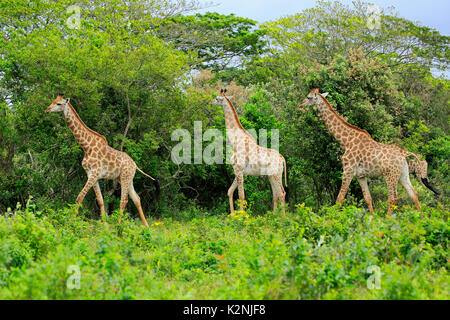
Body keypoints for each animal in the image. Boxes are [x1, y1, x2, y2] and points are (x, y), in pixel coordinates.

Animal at [46, 94, 159, 226]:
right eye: (53, 101)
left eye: (59, 104)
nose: (47, 110)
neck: (86, 147)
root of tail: (135, 165)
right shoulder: (91, 175)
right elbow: (100, 200)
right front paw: (105, 226)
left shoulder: (94, 174)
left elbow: (80, 197)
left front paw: (71, 222)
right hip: (125, 179)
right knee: (136, 199)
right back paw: (146, 227)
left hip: (125, 177)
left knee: (124, 200)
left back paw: (119, 225)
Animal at [300, 86, 438, 215]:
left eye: (308, 97)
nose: (300, 105)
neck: (346, 141)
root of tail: (404, 153)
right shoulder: (360, 175)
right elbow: (368, 198)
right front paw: (372, 218)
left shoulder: (348, 170)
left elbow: (339, 198)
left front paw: (331, 217)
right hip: (403, 174)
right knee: (413, 194)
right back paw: (422, 218)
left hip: (390, 175)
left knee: (393, 197)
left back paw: (387, 220)